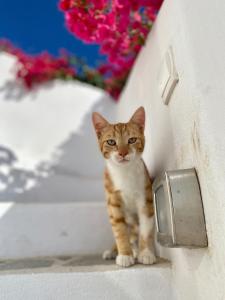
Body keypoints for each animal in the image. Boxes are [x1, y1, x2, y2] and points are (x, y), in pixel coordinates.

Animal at [92, 106, 156, 268]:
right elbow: (119, 230)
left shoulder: (145, 198)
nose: (122, 153)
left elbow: (146, 228)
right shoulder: (113, 202)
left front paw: (146, 253)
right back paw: (113, 251)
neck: (125, 173)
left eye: (132, 140)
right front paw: (125, 255)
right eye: (111, 142)